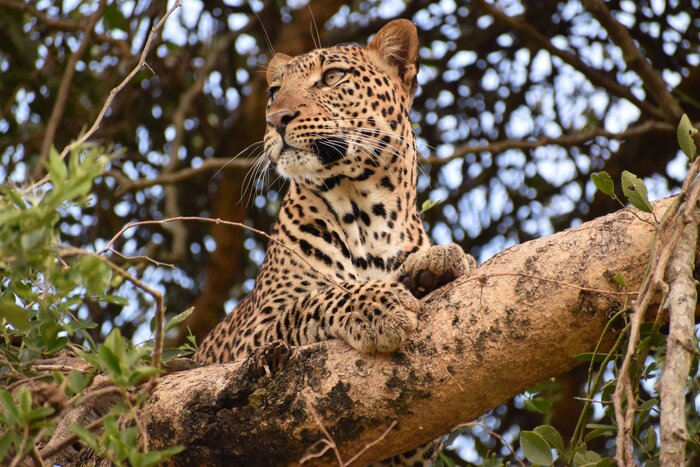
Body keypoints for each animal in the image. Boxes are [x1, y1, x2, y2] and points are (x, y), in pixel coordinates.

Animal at [195, 19, 475, 466]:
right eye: (274, 92)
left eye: (331, 77)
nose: (276, 118)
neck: (369, 217)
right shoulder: (250, 339)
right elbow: (312, 301)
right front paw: (377, 306)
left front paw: (437, 265)